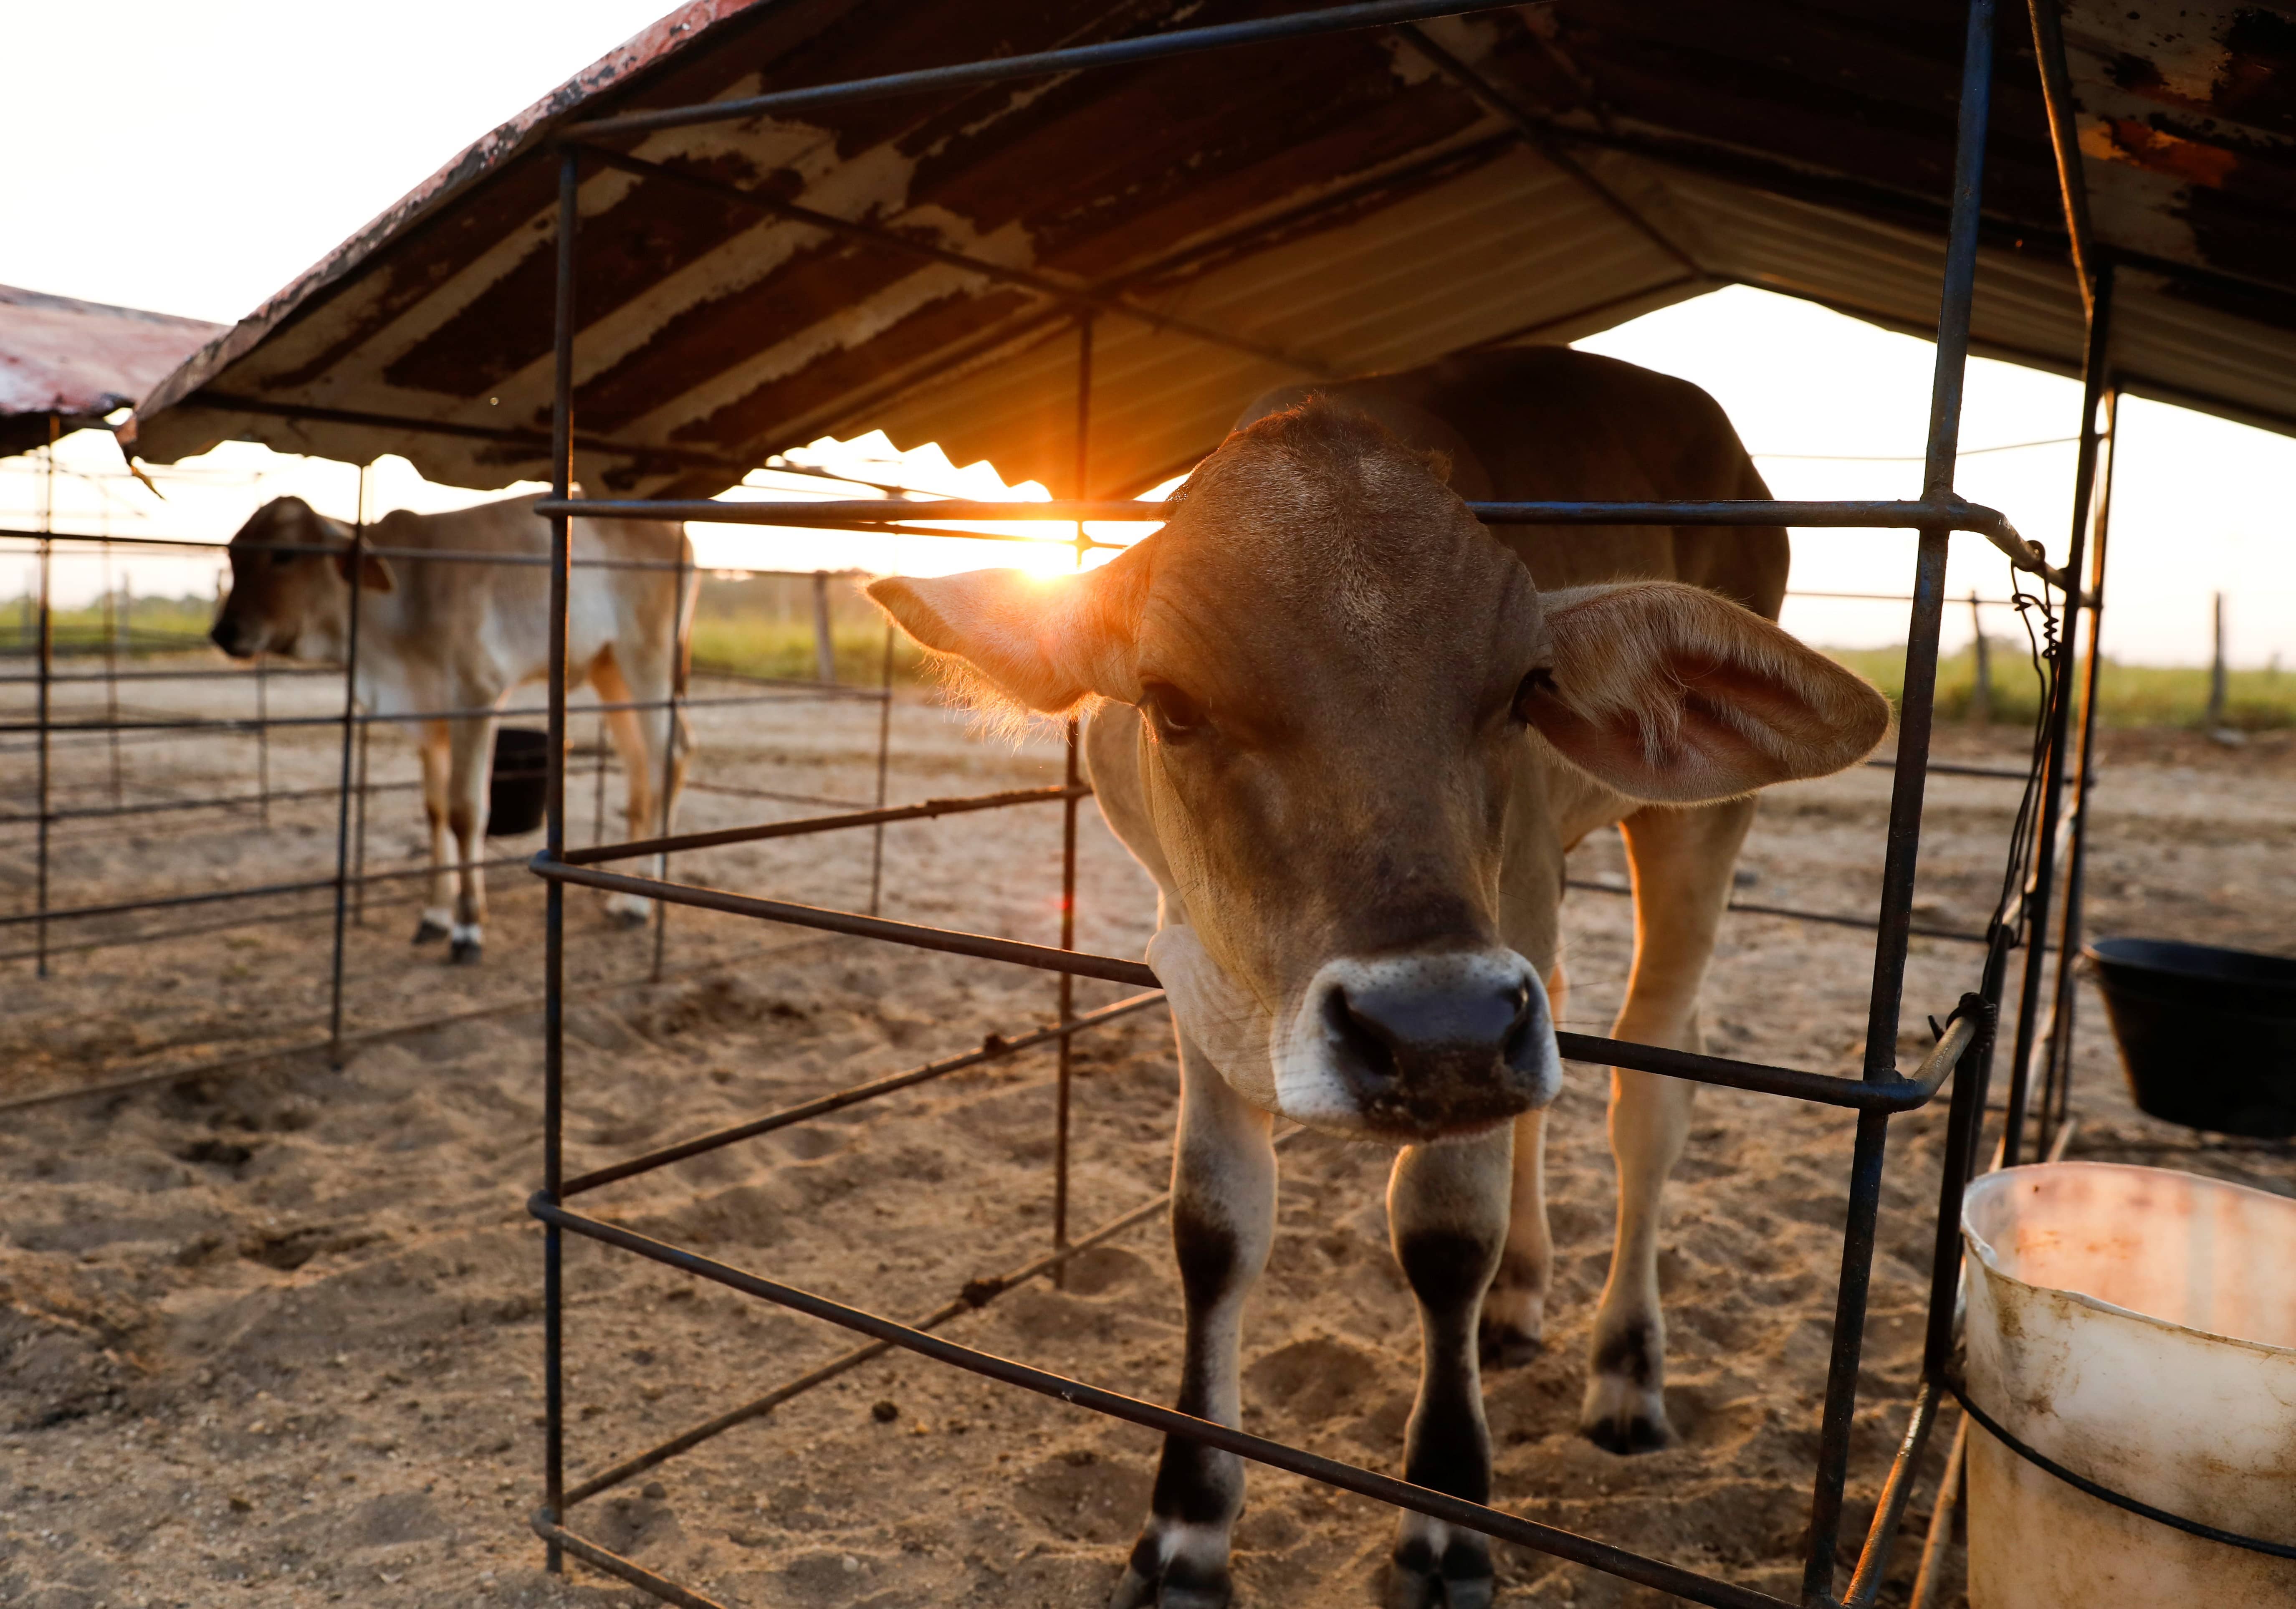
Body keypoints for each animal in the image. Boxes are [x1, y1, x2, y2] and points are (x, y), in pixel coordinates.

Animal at [216, 489, 689, 959]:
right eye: (234, 554)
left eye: (285, 554)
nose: (224, 632)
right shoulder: (429, 720)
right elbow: (436, 812)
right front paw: (436, 914)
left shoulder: (475, 698)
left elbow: (465, 812)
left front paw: (467, 926)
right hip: (610, 671)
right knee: (641, 770)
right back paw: (624, 892)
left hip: (648, 659)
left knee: (672, 756)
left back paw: (640, 900)